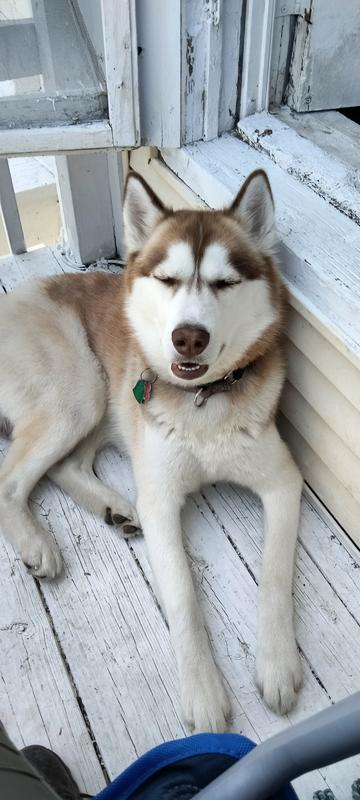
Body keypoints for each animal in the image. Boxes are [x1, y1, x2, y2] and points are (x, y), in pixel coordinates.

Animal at [0, 170, 302, 732]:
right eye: (166, 279)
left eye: (225, 283)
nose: (188, 338)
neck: (203, 404)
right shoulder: (162, 500)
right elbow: (182, 596)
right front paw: (202, 692)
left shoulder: (283, 483)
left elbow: (273, 577)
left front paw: (278, 666)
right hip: (81, 391)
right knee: (11, 480)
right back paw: (37, 543)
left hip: (106, 401)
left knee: (66, 465)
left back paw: (117, 508)